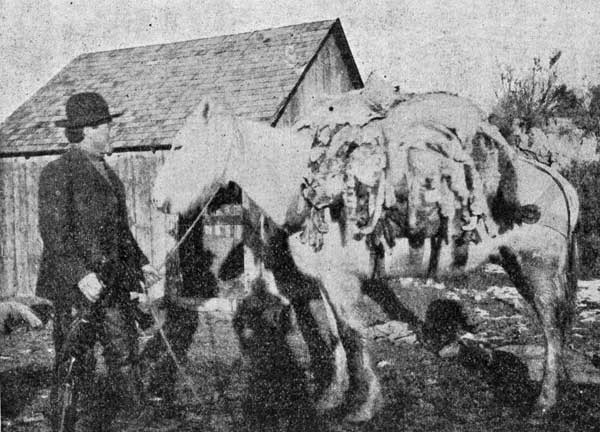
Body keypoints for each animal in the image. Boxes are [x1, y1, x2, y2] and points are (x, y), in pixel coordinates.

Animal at [152, 95, 580, 422]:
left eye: (181, 146)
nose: (158, 202)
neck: (308, 189)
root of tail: (559, 180)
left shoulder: (342, 284)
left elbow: (353, 338)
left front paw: (363, 406)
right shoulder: (328, 284)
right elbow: (337, 338)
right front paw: (332, 398)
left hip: (537, 267)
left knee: (551, 326)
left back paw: (543, 403)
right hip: (515, 264)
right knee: (555, 324)